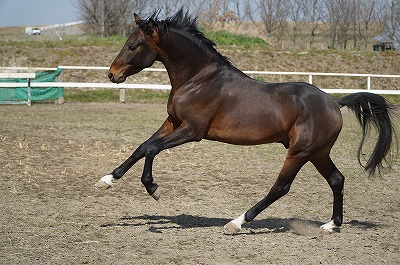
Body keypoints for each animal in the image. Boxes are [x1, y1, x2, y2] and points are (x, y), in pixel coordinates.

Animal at [96, 9, 396, 234]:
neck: (198, 79)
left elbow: (152, 149)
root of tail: (334, 102)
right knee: (336, 179)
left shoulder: (192, 130)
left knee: (280, 188)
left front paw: (153, 189)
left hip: (300, 152)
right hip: (317, 153)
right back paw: (331, 225)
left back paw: (237, 222)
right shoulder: (172, 122)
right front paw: (106, 180)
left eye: (133, 46)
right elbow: (141, 147)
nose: (112, 74)